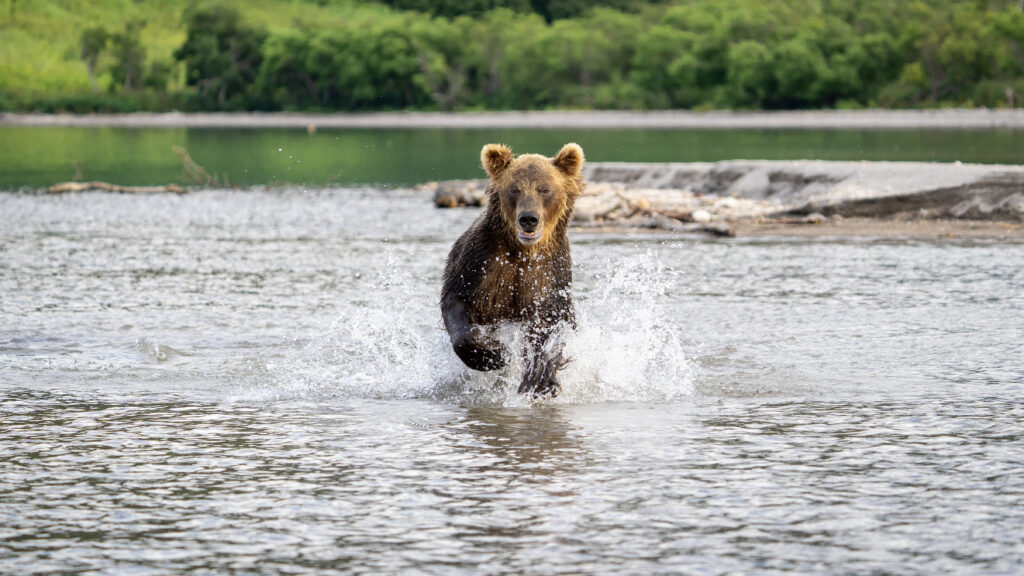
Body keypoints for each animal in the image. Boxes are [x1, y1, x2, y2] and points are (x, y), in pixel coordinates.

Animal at [441, 142, 585, 398]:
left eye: (545, 189)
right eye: (515, 189)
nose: (529, 219)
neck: (522, 250)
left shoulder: (551, 275)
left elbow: (556, 324)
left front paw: (540, 378)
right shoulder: (480, 263)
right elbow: (456, 304)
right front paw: (495, 355)